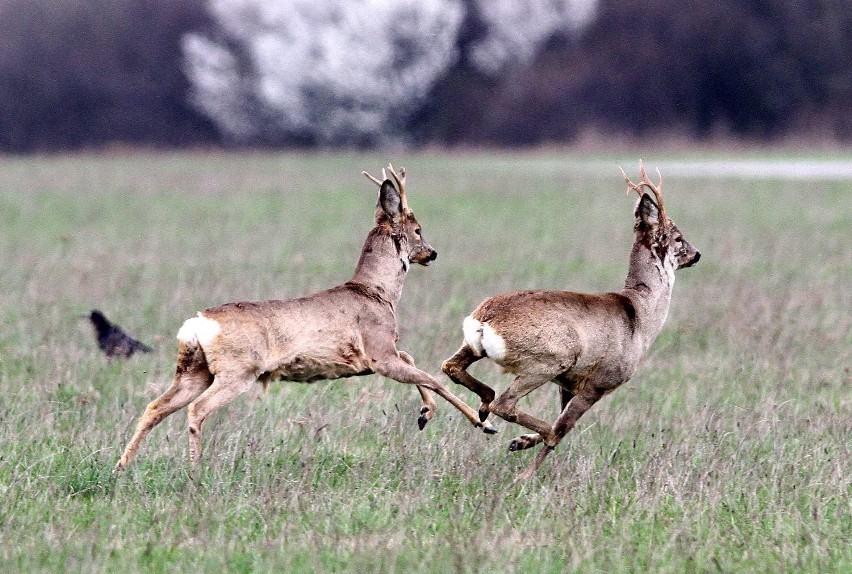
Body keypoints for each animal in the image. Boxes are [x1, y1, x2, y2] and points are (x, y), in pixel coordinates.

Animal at [115, 164, 496, 474]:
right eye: (418, 229)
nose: (432, 253)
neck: (377, 292)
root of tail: (198, 323)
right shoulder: (378, 353)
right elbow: (432, 377)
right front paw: (483, 423)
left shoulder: (383, 353)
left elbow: (415, 361)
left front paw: (424, 415)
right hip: (238, 369)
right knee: (196, 410)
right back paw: (195, 471)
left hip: (194, 370)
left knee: (155, 407)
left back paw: (122, 465)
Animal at [440, 164, 700, 484]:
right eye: (678, 237)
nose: (697, 254)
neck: (639, 316)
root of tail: (484, 320)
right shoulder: (599, 382)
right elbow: (563, 427)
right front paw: (524, 474)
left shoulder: (569, 382)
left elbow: (560, 417)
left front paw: (520, 442)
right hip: (549, 360)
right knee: (513, 407)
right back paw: (516, 427)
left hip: (478, 348)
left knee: (452, 368)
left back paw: (486, 410)